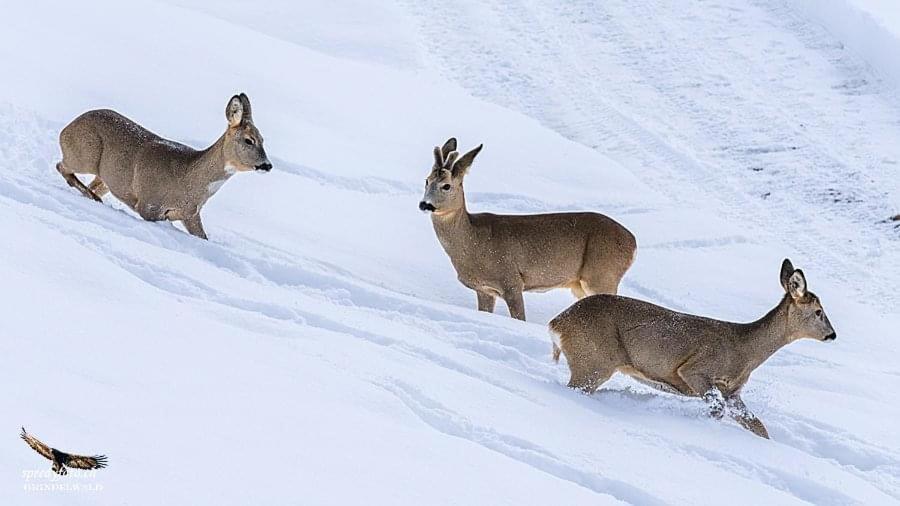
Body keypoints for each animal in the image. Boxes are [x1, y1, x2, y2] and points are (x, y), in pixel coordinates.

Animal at [55, 93, 270, 239]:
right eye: (249, 140)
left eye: (263, 139)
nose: (267, 165)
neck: (190, 180)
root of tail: (67, 128)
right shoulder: (150, 205)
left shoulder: (191, 214)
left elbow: (203, 237)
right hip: (85, 155)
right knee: (61, 166)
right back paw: (91, 196)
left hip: (106, 177)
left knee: (90, 184)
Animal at [420, 138, 636, 354]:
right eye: (426, 180)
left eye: (446, 186)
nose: (425, 204)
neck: (473, 243)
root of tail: (633, 243)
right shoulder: (484, 289)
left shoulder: (511, 279)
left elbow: (520, 319)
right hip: (582, 284)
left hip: (602, 274)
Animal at [548, 258, 836, 436]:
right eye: (819, 312)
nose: (832, 335)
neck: (744, 350)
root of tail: (556, 324)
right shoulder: (695, 370)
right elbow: (716, 411)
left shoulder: (733, 392)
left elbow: (759, 427)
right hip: (594, 360)